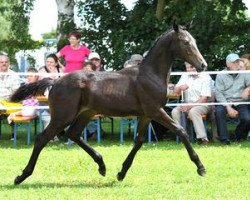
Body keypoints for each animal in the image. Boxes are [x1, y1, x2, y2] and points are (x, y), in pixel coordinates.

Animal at [10, 24, 207, 185]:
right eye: (185, 42)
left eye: (195, 41)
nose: (203, 65)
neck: (150, 74)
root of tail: (54, 82)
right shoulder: (156, 111)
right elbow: (181, 131)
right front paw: (201, 168)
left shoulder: (146, 114)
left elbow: (139, 141)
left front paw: (121, 173)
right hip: (62, 116)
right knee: (42, 138)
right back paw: (21, 176)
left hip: (85, 113)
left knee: (73, 134)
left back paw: (102, 166)